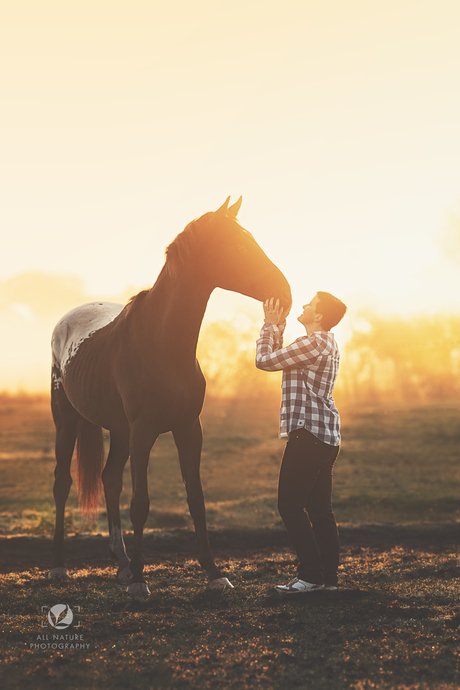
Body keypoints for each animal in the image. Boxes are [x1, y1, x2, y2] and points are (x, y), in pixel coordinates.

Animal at [49, 196, 292, 592]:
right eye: (238, 246)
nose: (284, 293)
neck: (161, 342)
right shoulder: (144, 432)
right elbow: (141, 503)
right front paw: (139, 580)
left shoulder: (188, 428)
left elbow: (196, 498)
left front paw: (213, 573)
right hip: (68, 420)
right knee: (62, 483)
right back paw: (60, 566)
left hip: (120, 430)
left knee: (110, 479)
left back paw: (121, 562)